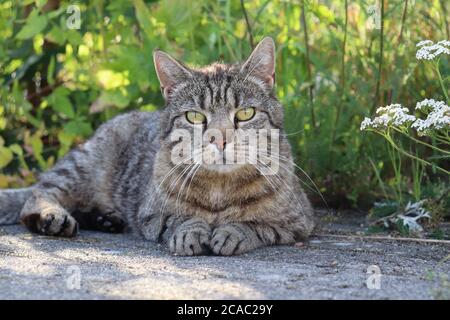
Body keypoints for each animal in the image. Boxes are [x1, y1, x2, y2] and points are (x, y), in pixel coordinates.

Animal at [0, 37, 314, 256]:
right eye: (195, 116)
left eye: (245, 113)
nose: (220, 138)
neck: (220, 190)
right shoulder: (149, 216)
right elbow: (179, 220)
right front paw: (192, 230)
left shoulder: (299, 222)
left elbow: (259, 226)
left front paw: (233, 232)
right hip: (81, 168)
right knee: (39, 193)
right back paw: (53, 216)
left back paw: (106, 219)